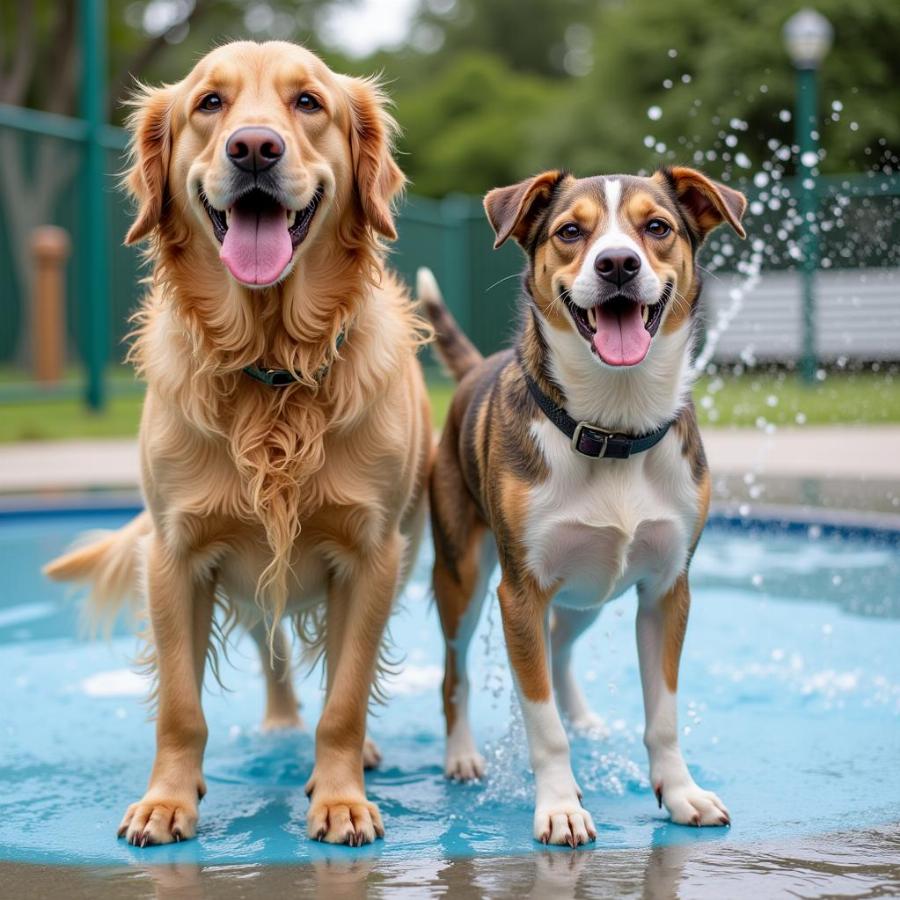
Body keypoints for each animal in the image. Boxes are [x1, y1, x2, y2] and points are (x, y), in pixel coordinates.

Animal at [45, 40, 432, 844]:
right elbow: (180, 706)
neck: (271, 364)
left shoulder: (372, 556)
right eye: (209, 104)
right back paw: (280, 725)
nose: (255, 147)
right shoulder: (176, 554)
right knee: (272, 643)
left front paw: (341, 796)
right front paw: (167, 799)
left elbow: (347, 695)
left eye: (309, 102)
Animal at [422, 167, 744, 844]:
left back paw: (582, 716)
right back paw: (461, 755)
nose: (617, 263)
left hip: (591, 592)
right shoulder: (519, 593)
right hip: (461, 578)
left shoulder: (668, 590)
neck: (615, 427)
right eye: (571, 232)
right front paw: (559, 805)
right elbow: (542, 725)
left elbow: (663, 715)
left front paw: (680, 793)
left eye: (658, 227)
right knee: (454, 672)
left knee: (561, 641)